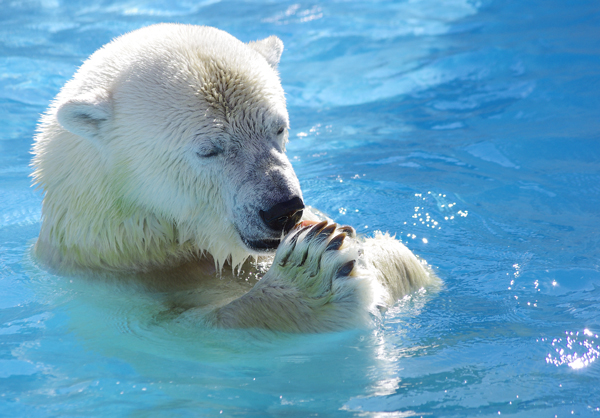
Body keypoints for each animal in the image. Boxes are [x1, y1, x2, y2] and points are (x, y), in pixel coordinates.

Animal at [30, 24, 438, 334]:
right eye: (209, 149)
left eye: (279, 128)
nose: (283, 209)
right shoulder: (120, 293)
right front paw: (313, 272)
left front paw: (359, 245)